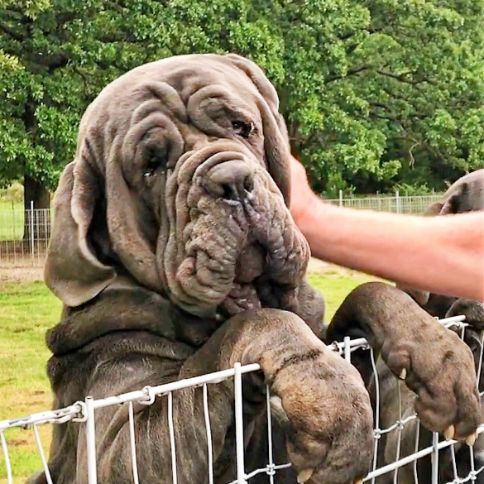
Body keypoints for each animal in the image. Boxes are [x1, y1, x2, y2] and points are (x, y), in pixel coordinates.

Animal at [36, 54, 478, 482]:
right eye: (151, 164)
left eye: (242, 126)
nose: (231, 181)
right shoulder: (118, 441)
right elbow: (257, 324)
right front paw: (327, 397)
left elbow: (368, 293)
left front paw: (439, 355)